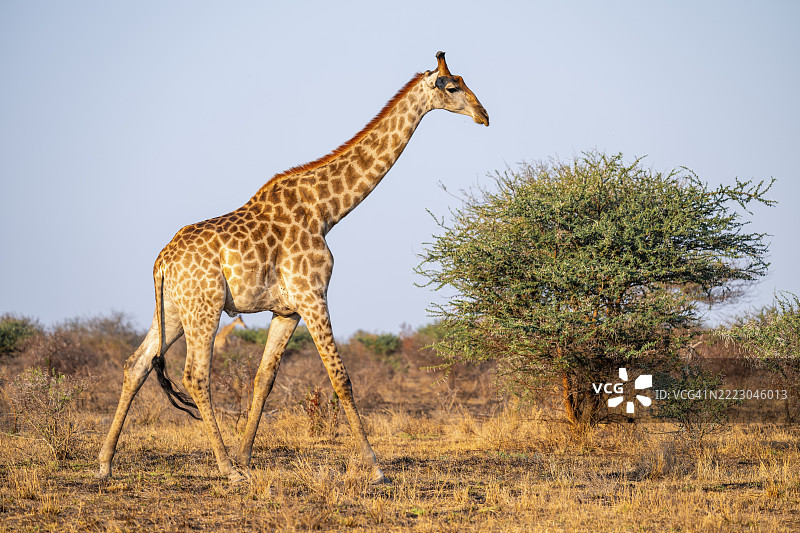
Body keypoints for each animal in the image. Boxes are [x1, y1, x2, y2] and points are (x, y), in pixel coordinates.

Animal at [97, 51, 488, 484]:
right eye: (452, 86)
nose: (484, 115)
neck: (326, 210)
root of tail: (161, 262)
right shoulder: (312, 295)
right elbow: (340, 378)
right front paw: (375, 467)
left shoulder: (287, 310)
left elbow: (264, 379)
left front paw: (246, 456)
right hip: (204, 306)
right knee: (195, 375)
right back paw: (225, 469)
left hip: (171, 309)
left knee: (137, 364)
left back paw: (105, 462)